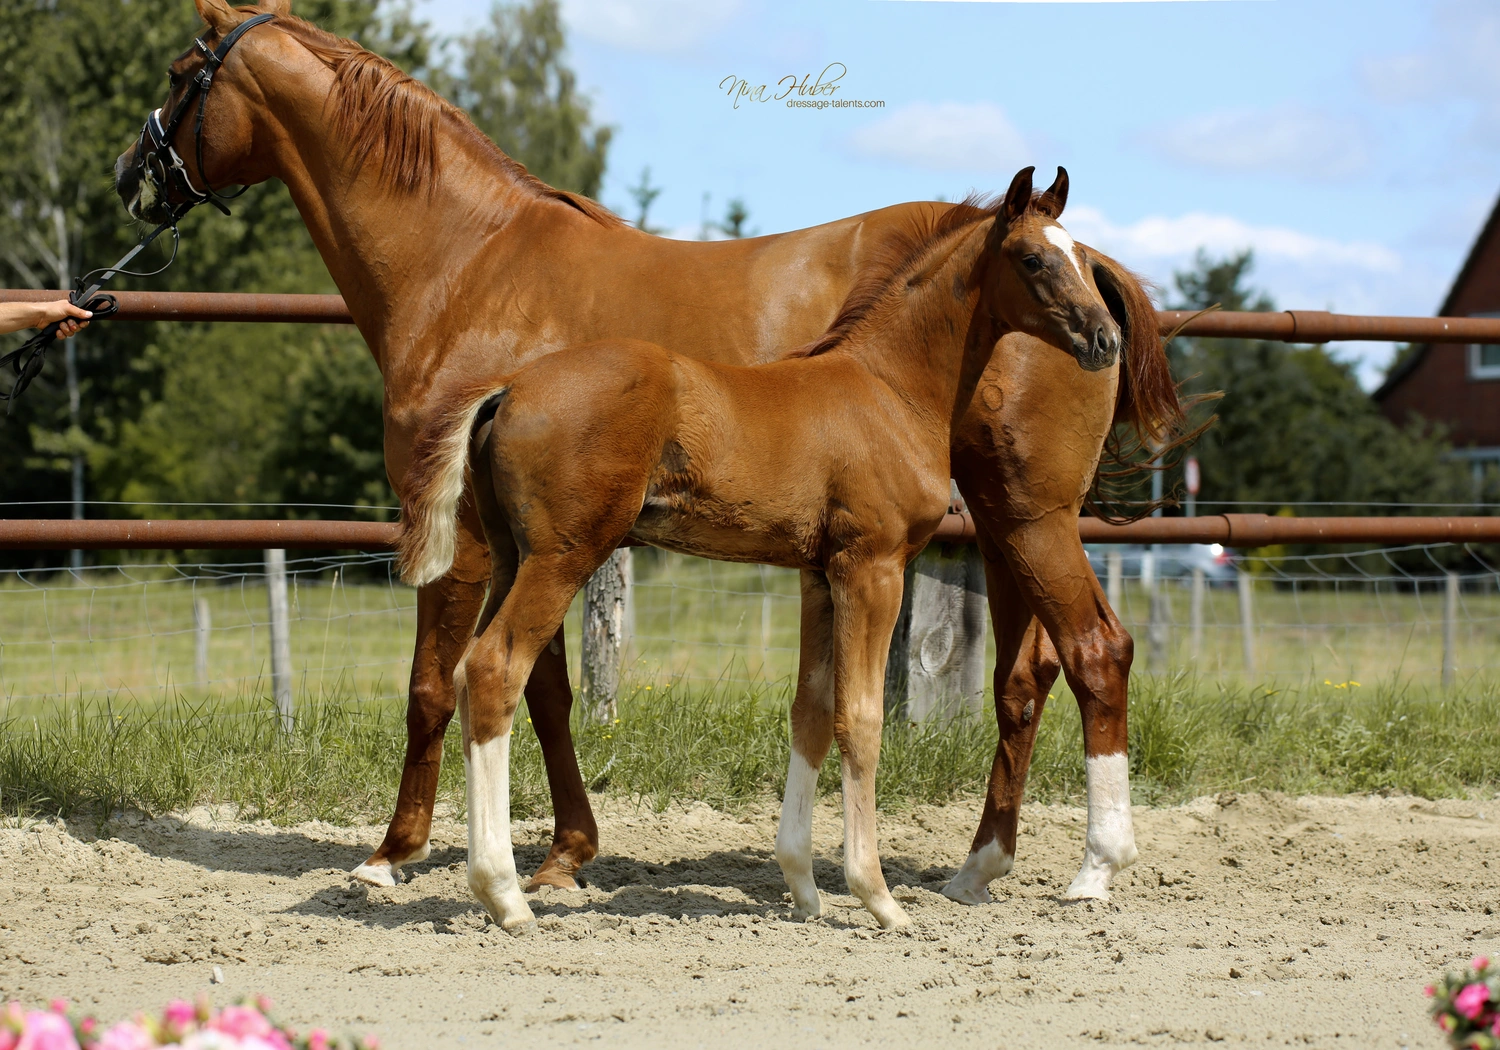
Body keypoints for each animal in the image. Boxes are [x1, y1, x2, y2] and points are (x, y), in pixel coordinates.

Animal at [396, 168, 1120, 931]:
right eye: (1033, 259)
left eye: (1081, 257)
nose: (1106, 340)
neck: (889, 389)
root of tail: (507, 389)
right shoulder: (873, 568)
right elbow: (860, 718)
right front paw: (877, 897)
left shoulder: (820, 575)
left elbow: (811, 711)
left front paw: (802, 889)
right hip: (562, 556)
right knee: (495, 670)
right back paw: (504, 894)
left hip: (514, 557)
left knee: (471, 674)